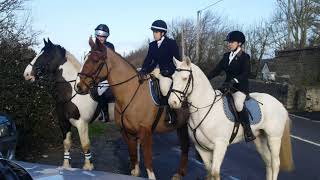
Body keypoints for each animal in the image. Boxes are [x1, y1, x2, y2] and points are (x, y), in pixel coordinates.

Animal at [75, 38, 190, 179]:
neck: (130, 93)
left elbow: (148, 159)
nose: (78, 87)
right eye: (85, 58)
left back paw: (180, 173)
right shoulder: (127, 133)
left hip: (185, 126)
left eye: (95, 60)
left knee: (185, 147)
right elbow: (133, 157)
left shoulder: (145, 132)